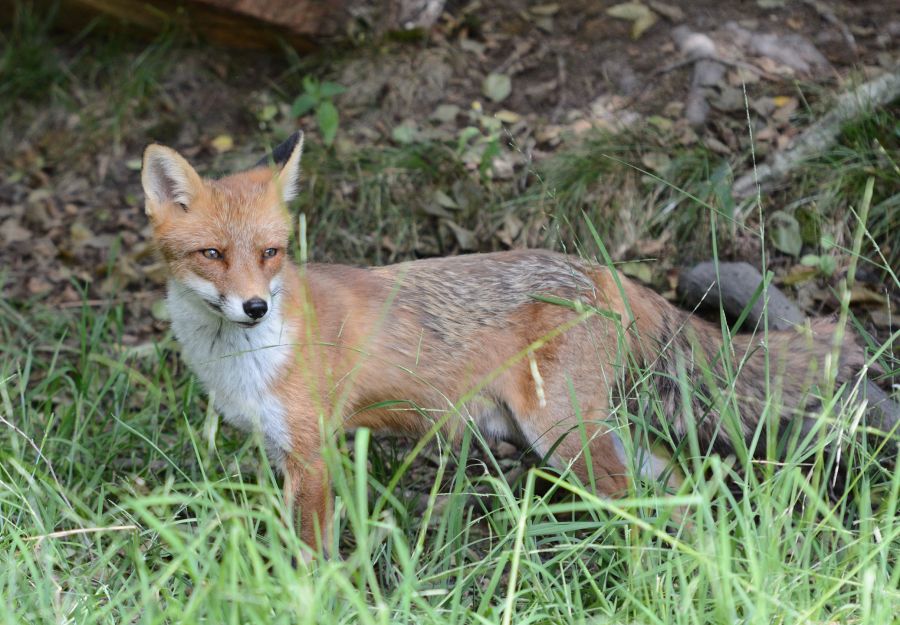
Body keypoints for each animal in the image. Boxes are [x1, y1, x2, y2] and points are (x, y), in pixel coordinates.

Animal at [141, 129, 892, 552]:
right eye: (211, 254)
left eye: (270, 252)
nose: (255, 306)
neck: (241, 361)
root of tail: (600, 269)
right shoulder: (286, 454)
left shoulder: (313, 452)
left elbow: (312, 557)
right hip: (581, 432)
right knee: (676, 485)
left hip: (560, 435)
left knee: (636, 504)